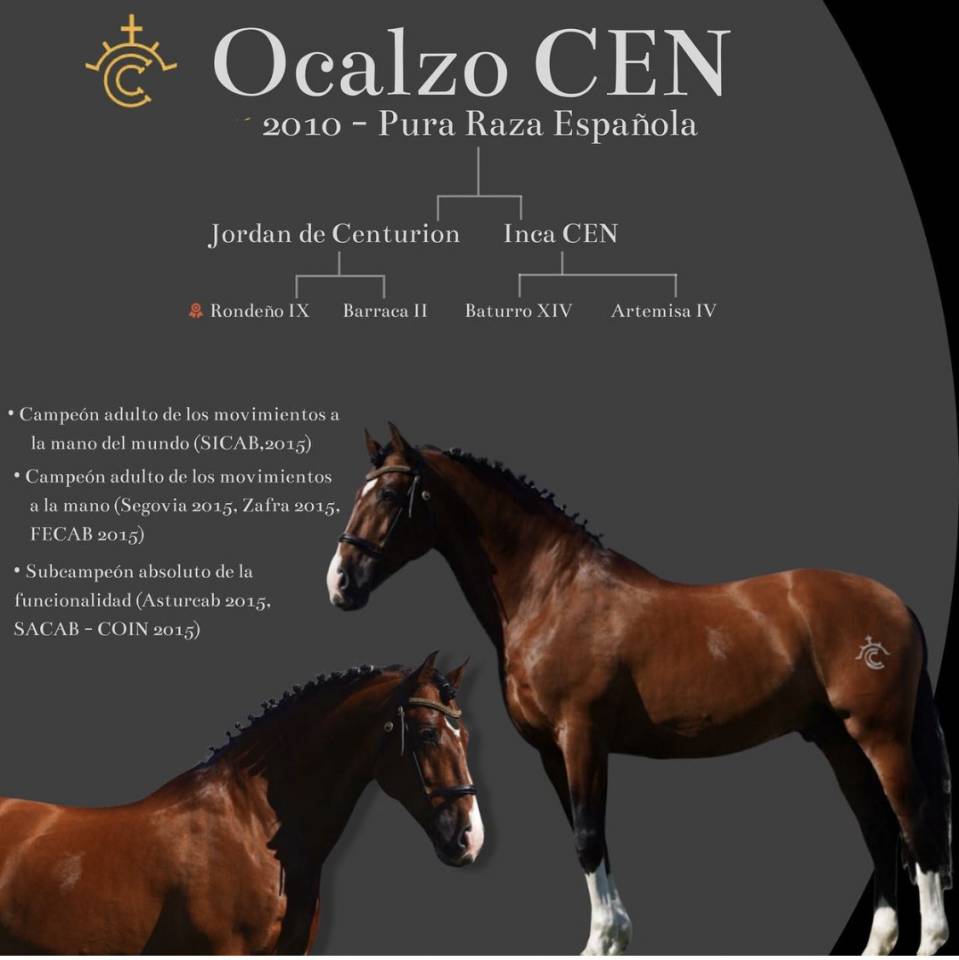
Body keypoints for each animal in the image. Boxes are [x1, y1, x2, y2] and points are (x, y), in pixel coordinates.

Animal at [328, 423, 952, 956]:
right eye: (362, 492)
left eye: (391, 495)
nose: (340, 582)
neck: (551, 594)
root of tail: (897, 604)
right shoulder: (552, 753)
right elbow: (587, 840)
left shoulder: (583, 738)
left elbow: (588, 835)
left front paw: (605, 941)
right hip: (837, 741)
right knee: (877, 828)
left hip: (881, 737)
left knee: (915, 822)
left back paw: (931, 941)